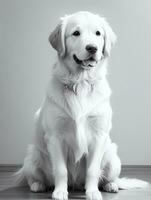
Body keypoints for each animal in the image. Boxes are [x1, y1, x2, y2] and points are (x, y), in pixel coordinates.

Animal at [15, 11, 148, 200]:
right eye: (76, 33)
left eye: (98, 33)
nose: (92, 48)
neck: (81, 83)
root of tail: (76, 184)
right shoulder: (55, 137)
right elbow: (61, 170)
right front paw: (60, 192)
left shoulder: (99, 136)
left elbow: (92, 170)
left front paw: (92, 192)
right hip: (33, 155)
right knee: (32, 177)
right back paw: (38, 185)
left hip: (112, 155)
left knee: (108, 177)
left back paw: (110, 185)